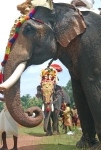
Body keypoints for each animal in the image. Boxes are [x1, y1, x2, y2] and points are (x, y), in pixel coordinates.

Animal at [0, 0, 101, 149]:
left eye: (28, 29)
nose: (30, 112)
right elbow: (79, 91)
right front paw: (84, 145)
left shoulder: (91, 45)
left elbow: (93, 86)